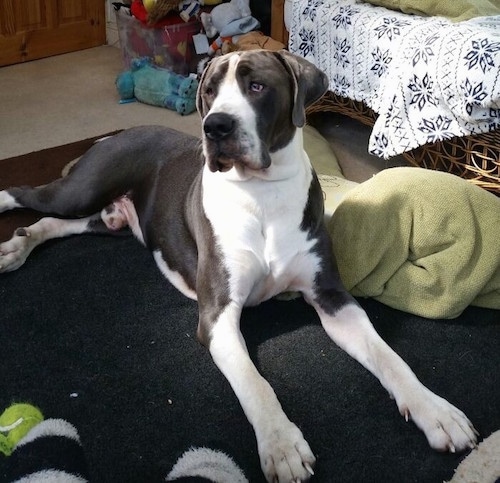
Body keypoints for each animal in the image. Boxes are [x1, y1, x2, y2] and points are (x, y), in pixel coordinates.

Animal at [0, 51, 476, 482]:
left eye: (257, 86)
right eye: (210, 91)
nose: (215, 126)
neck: (262, 192)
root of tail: (115, 133)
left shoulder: (333, 298)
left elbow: (389, 357)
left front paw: (435, 410)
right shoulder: (217, 316)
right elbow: (254, 383)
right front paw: (281, 444)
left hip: (110, 220)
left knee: (57, 222)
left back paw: (19, 245)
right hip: (83, 188)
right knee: (26, 193)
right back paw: (11, 237)